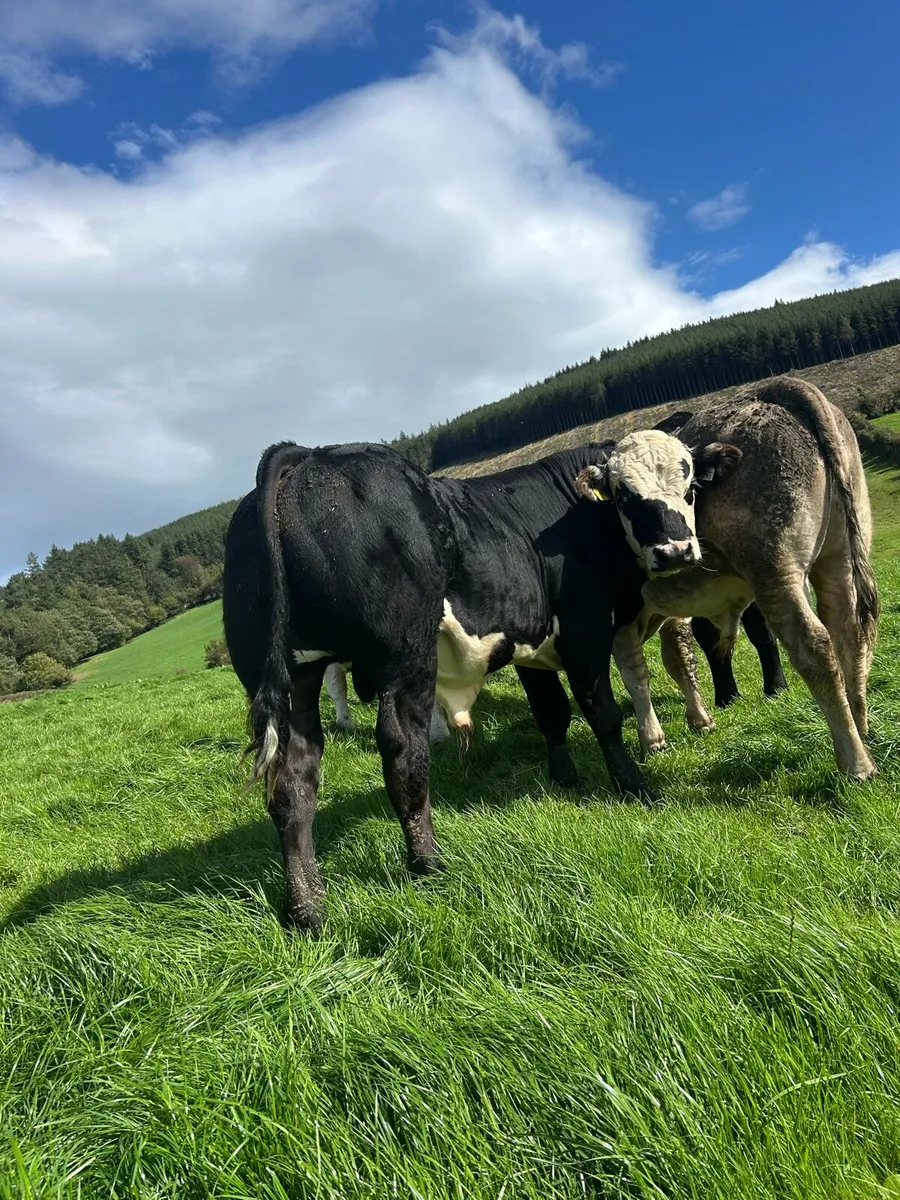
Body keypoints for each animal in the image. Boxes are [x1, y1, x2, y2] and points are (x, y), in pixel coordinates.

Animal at [222, 437, 740, 929]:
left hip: (294, 681)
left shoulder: (529, 641)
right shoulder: (585, 628)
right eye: (627, 496)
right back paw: (428, 864)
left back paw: (308, 906)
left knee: (293, 781)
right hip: (406, 658)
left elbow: (552, 712)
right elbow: (603, 714)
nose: (676, 551)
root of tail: (308, 458)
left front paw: (565, 780)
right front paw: (634, 786)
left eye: (690, 487)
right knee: (403, 753)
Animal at [576, 378, 879, 780]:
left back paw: (855, 762)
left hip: (774, 571)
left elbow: (639, 666)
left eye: (690, 489)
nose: (675, 551)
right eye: (623, 496)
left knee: (814, 646)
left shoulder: (626, 613)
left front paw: (655, 738)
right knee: (850, 633)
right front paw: (697, 719)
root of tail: (774, 392)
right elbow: (678, 653)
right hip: (839, 558)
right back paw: (862, 732)